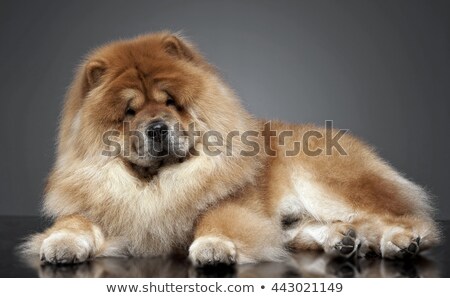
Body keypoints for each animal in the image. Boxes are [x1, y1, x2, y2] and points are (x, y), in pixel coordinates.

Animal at [22, 32, 438, 266]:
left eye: (170, 102)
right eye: (130, 111)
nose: (157, 128)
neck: (157, 185)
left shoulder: (233, 205)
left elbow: (216, 220)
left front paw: (213, 248)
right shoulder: (98, 203)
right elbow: (75, 222)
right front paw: (60, 244)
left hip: (328, 185)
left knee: (402, 218)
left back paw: (399, 243)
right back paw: (344, 241)